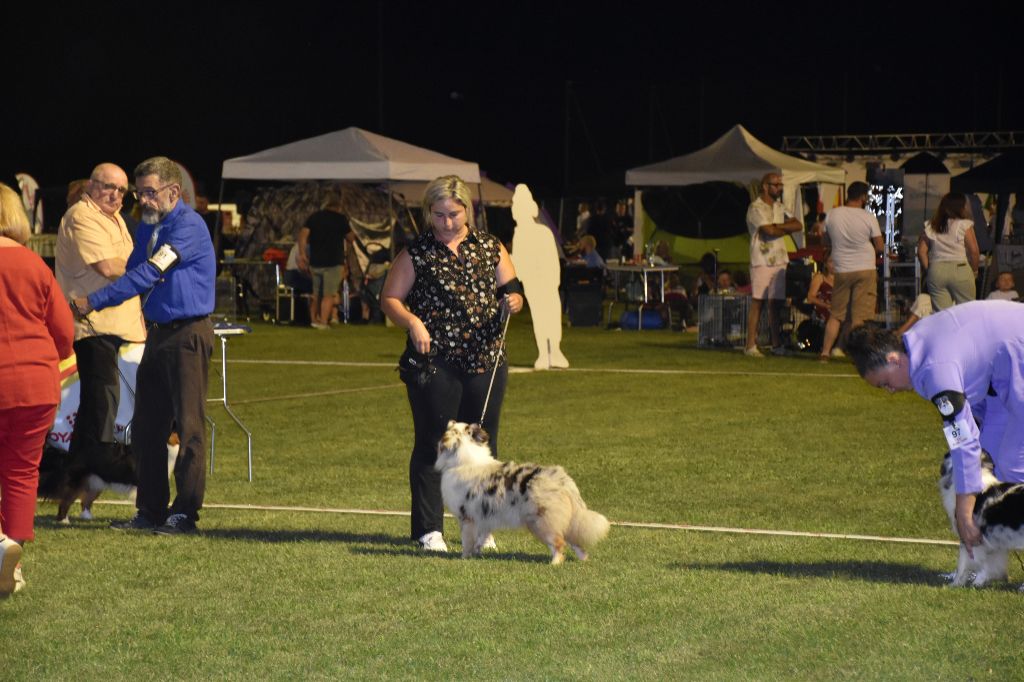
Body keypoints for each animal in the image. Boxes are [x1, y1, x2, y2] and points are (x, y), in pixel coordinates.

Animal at [37, 436, 179, 524]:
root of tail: (68, 454)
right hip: (76, 483)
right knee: (65, 501)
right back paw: (64, 521)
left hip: (94, 484)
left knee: (85, 501)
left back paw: (87, 518)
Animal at [435, 420, 610, 564]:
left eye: (452, 428)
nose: (450, 421)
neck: (465, 458)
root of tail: (562, 480)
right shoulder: (482, 516)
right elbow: (480, 536)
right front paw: (479, 552)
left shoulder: (466, 517)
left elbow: (467, 541)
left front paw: (464, 557)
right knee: (575, 542)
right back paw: (583, 560)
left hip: (541, 522)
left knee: (559, 543)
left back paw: (554, 563)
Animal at [938, 450, 1024, 589]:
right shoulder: (993, 543)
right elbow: (989, 565)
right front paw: (979, 582)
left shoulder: (968, 537)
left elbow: (964, 564)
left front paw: (955, 584)